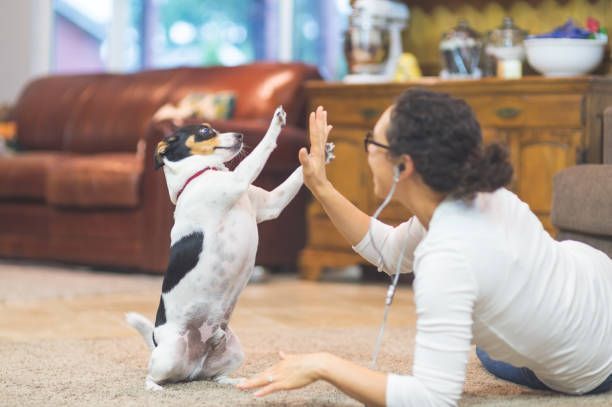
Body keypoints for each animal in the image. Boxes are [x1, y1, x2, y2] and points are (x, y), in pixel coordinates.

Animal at [125, 106, 334, 392]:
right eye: (205, 131)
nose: (240, 134)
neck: (200, 175)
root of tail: (193, 367)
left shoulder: (271, 204)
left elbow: (296, 175)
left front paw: (319, 152)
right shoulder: (238, 180)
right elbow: (264, 147)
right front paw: (276, 123)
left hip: (234, 351)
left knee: (214, 375)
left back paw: (234, 381)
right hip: (170, 353)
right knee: (154, 375)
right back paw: (154, 387)